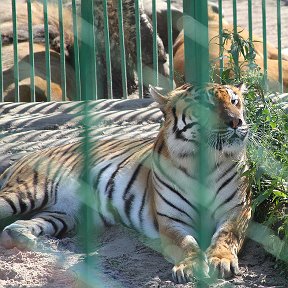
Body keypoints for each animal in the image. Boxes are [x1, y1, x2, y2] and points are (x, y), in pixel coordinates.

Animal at [0, 82, 250, 282]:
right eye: (206, 106)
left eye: (235, 101)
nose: (236, 121)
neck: (203, 162)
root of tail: (24, 156)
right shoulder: (172, 222)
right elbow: (186, 243)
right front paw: (190, 266)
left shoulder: (236, 211)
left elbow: (226, 236)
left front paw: (221, 260)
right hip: (28, 193)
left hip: (62, 215)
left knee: (14, 227)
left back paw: (34, 245)